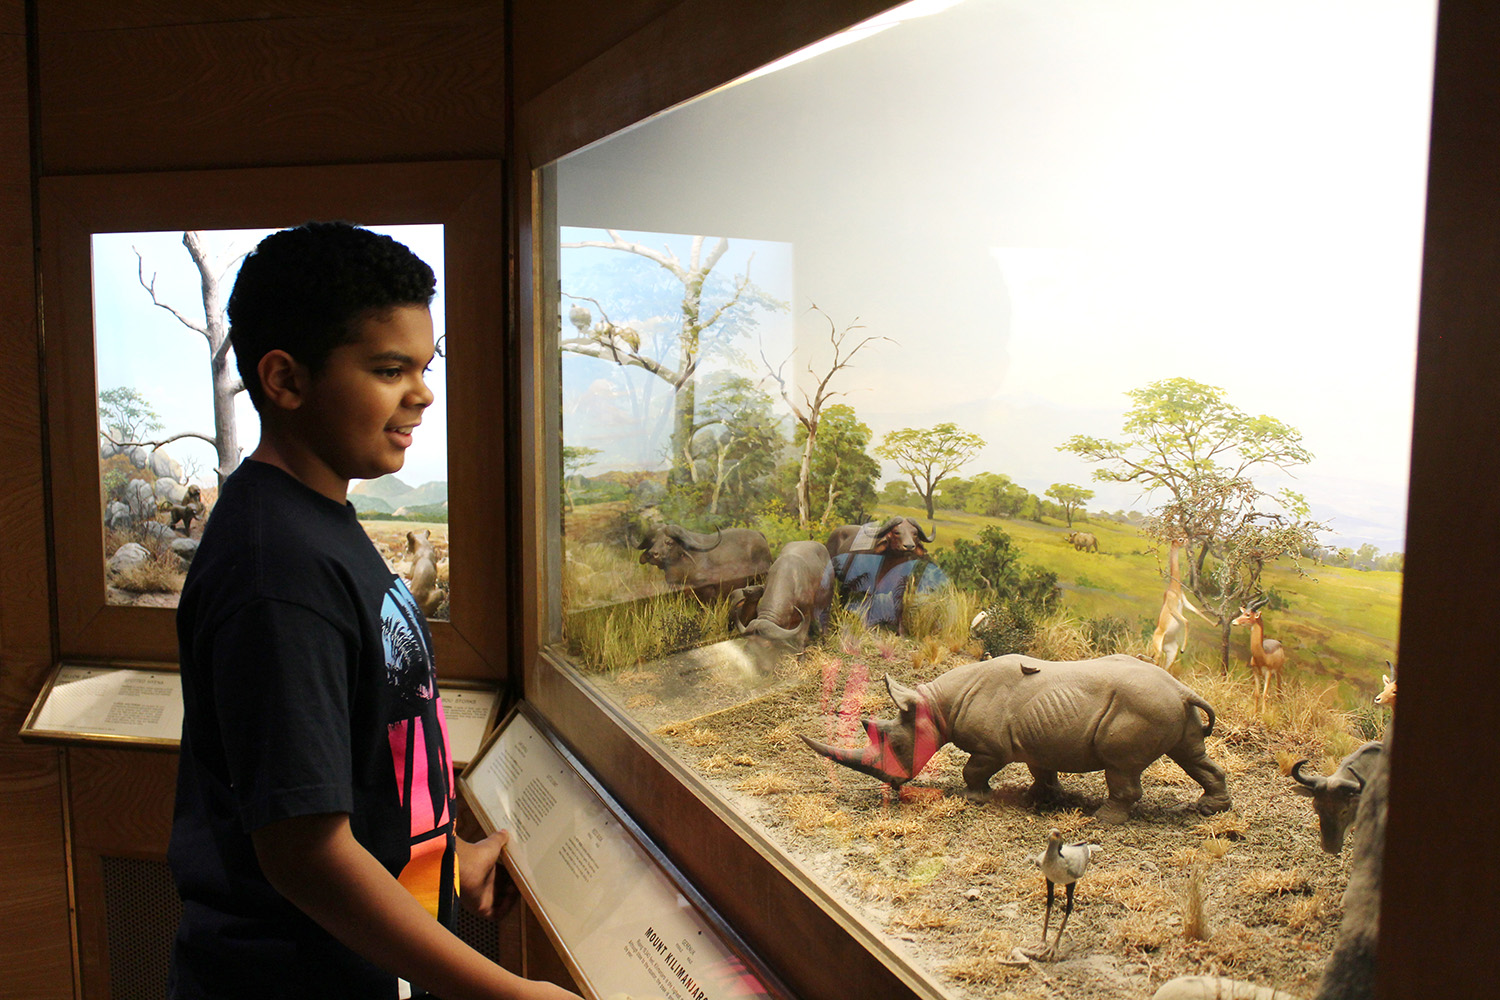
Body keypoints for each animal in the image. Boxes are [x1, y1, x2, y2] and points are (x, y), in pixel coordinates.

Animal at [1146, 536, 1218, 668]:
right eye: (1180, 539)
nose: (1188, 540)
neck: (1174, 589)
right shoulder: (1173, 608)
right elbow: (1186, 621)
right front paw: (1183, 649)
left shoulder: (1184, 602)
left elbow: (1197, 611)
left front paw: (1216, 623)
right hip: (1158, 650)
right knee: (1155, 660)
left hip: (1171, 653)